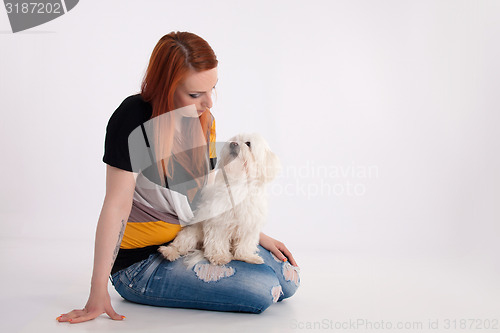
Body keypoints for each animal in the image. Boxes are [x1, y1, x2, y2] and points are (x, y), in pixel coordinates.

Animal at [158, 132, 280, 264]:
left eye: (248, 143)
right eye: (234, 140)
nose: (233, 144)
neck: (238, 183)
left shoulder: (249, 224)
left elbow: (245, 243)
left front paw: (246, 256)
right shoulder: (218, 222)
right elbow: (218, 240)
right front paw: (219, 256)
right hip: (191, 234)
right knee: (180, 244)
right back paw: (169, 252)